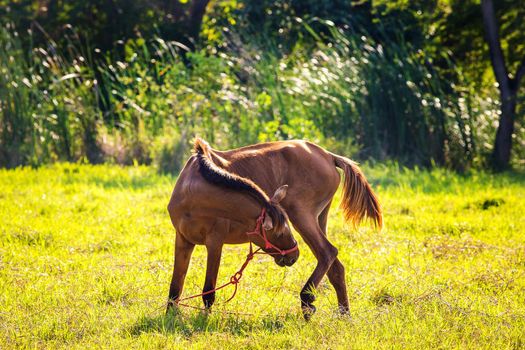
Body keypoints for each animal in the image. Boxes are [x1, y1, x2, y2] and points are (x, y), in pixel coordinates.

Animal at [168, 138, 380, 318]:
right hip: (317, 219)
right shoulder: (183, 241)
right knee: (334, 267)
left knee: (327, 252)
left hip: (301, 214)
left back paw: (307, 299)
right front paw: (171, 317)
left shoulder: (215, 243)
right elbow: (175, 289)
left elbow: (208, 291)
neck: (192, 192)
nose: (294, 255)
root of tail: (328, 155)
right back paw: (344, 315)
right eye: (279, 231)